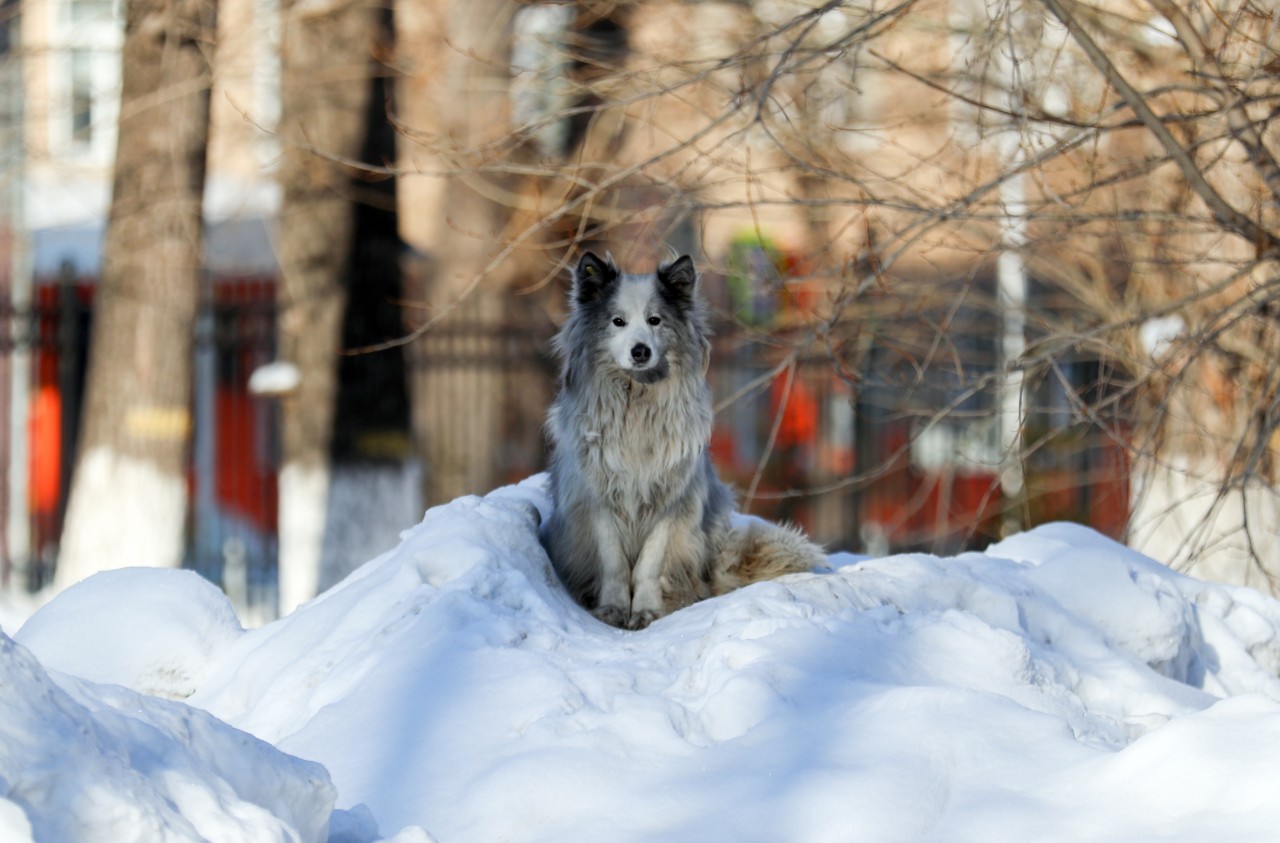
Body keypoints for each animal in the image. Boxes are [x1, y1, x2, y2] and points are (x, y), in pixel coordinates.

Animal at [540, 254, 819, 629]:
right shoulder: (598, 500)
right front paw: (613, 609)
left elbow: (649, 564)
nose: (640, 351)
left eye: (655, 320)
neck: (637, 400)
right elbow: (613, 564)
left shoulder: (670, 503)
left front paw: (646, 612)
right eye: (618, 322)